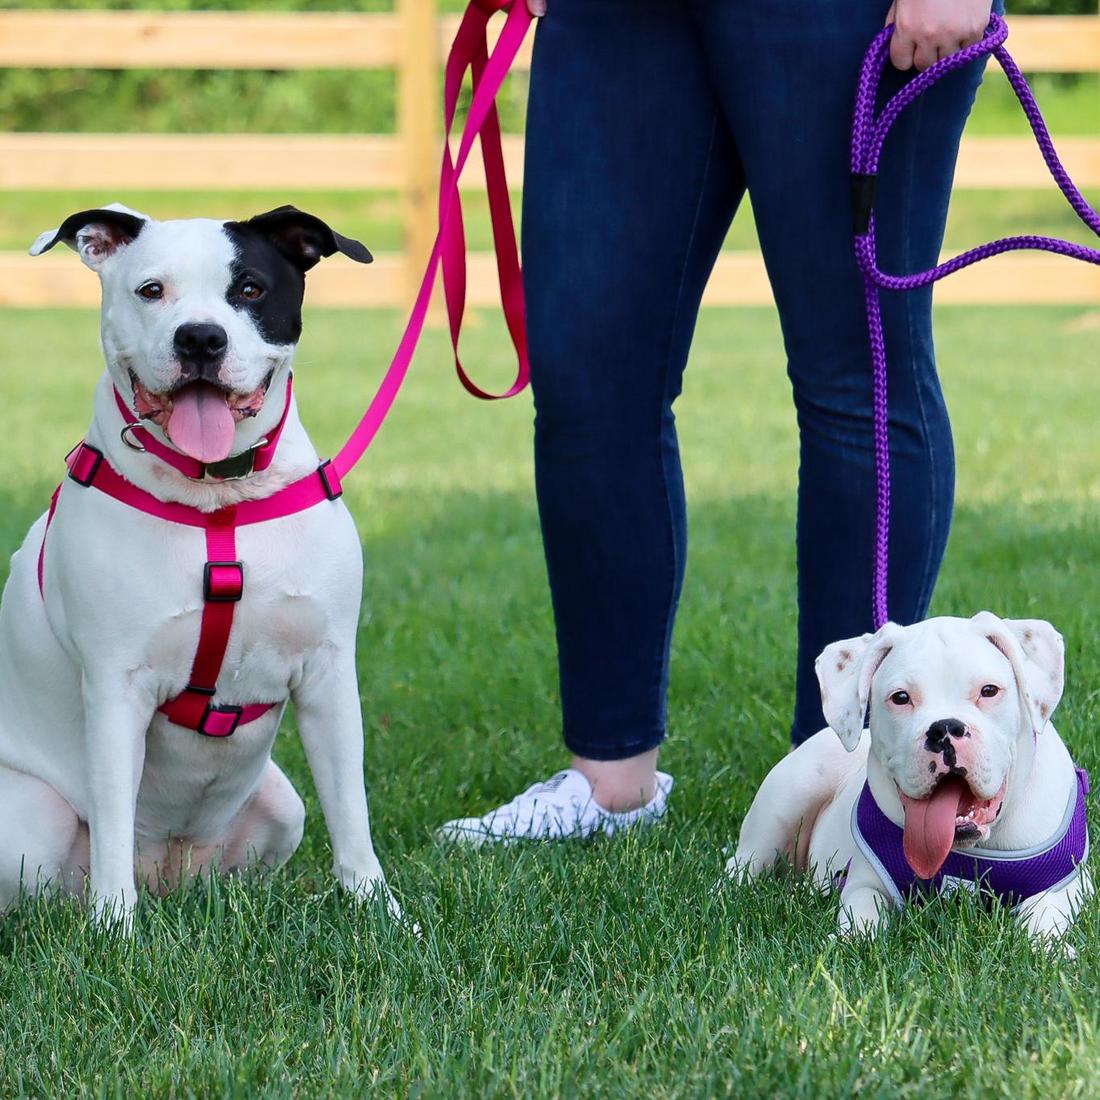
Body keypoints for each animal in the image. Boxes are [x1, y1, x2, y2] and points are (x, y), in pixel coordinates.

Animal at [0, 204, 398, 928]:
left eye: (251, 289)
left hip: (281, 806)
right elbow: (112, 825)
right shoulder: (116, 687)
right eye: (151, 290)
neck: (219, 500)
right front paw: (114, 933)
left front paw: (381, 915)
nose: (201, 339)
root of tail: (168, 871)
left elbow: (352, 817)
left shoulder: (328, 673)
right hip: (34, 819)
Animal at [730, 616, 1091, 941]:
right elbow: (863, 907)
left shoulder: (1070, 883)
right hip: (788, 797)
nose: (944, 729)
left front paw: (1050, 946)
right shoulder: (864, 879)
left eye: (989, 691)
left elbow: (1045, 909)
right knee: (742, 867)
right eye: (901, 697)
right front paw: (851, 938)